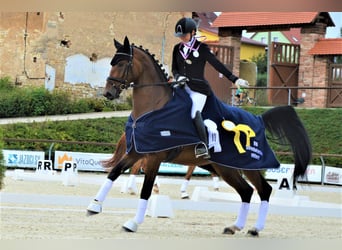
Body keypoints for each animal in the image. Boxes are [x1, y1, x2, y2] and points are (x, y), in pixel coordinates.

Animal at [87, 36, 312, 236]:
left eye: (122, 64)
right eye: (112, 63)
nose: (108, 93)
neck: (154, 107)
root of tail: (259, 118)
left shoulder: (154, 157)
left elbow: (146, 190)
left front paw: (133, 223)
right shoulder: (136, 152)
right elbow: (114, 173)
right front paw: (94, 206)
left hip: (246, 165)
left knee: (262, 190)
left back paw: (255, 229)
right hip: (227, 168)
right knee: (248, 191)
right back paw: (236, 227)